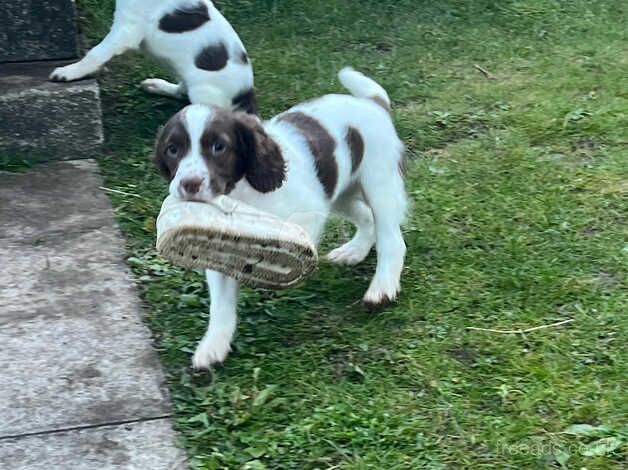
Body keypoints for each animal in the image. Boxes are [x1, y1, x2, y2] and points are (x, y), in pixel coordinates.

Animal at [49, 0, 255, 113]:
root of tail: (247, 98)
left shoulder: (126, 29)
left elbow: (96, 53)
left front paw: (69, 72)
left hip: (203, 89)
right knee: (181, 92)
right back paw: (157, 85)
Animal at [152, 68, 408, 370]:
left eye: (218, 147)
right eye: (172, 150)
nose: (189, 184)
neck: (241, 195)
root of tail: (372, 102)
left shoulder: (309, 212)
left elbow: (288, 243)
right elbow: (221, 302)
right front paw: (214, 345)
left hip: (379, 180)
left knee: (391, 239)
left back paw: (382, 288)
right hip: (341, 192)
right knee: (366, 217)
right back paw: (354, 251)